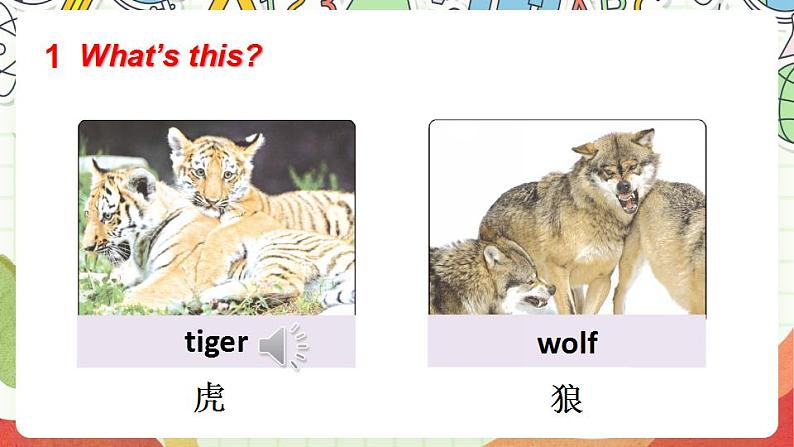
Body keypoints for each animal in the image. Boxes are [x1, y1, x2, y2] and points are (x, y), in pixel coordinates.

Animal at [81, 160, 355, 311]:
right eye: (87, 214)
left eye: (107, 216)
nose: (86, 248)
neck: (140, 247)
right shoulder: (133, 273)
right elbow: (100, 278)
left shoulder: (175, 274)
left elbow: (140, 294)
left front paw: (104, 309)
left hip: (277, 246)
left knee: (284, 284)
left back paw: (206, 297)